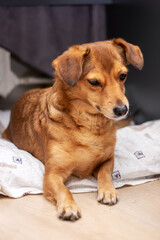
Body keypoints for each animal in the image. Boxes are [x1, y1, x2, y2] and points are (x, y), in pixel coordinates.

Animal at [1, 38, 143, 220]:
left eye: (123, 76)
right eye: (94, 82)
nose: (122, 110)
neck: (89, 124)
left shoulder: (107, 160)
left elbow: (105, 174)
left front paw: (108, 191)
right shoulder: (52, 174)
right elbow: (64, 189)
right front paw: (69, 206)